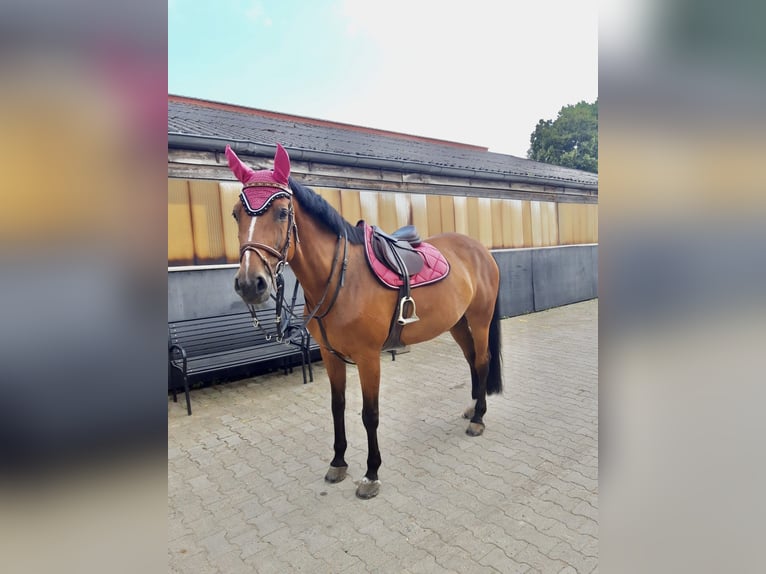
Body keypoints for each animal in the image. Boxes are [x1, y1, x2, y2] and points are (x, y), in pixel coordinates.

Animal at [228, 144, 504, 500]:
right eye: (236, 213)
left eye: (282, 213)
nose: (251, 283)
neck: (342, 279)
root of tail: (480, 249)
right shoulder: (331, 356)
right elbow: (338, 407)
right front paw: (338, 462)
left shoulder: (369, 357)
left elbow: (369, 414)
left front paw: (371, 474)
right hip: (456, 322)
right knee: (471, 359)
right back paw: (473, 407)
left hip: (480, 318)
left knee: (482, 360)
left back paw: (479, 418)